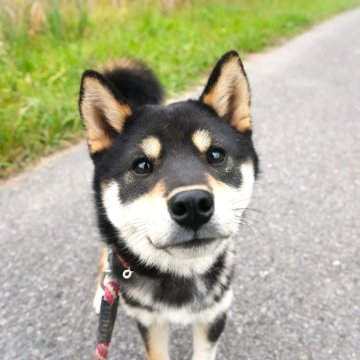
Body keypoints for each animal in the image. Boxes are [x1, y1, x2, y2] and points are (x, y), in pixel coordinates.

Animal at [79, 51, 258, 360]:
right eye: (141, 166)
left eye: (215, 155)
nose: (192, 204)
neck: (180, 276)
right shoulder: (149, 321)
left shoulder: (214, 314)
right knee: (106, 251)